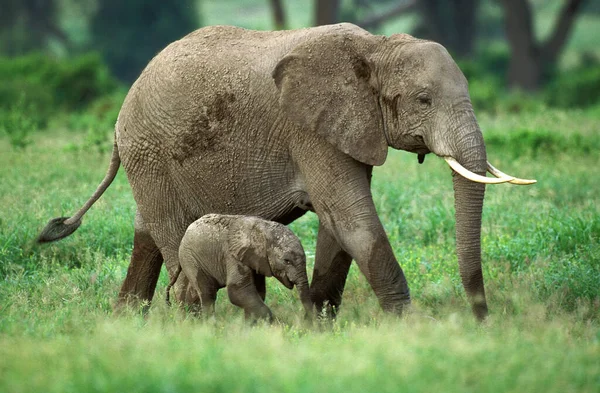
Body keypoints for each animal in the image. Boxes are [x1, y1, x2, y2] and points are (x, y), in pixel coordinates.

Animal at [166, 213, 312, 320]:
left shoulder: (256, 259)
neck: (264, 229)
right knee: (208, 293)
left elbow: (258, 292)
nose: (307, 320)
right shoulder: (233, 256)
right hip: (190, 258)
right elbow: (238, 291)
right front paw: (271, 323)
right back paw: (209, 326)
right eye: (287, 261)